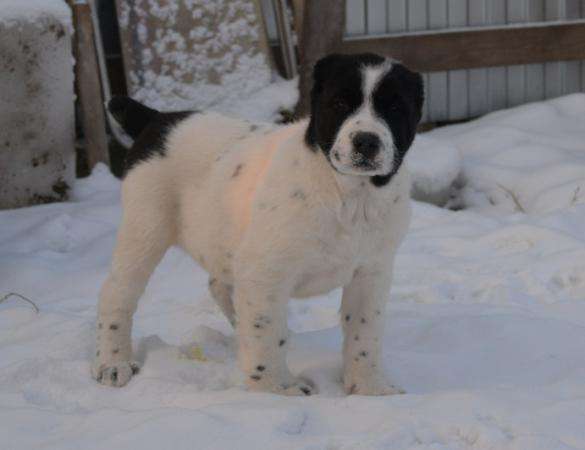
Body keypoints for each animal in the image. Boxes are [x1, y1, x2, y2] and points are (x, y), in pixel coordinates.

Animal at [93, 52, 424, 396]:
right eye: (340, 103)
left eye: (396, 109)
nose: (366, 142)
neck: (350, 195)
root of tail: (156, 120)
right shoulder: (266, 272)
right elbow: (265, 333)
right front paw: (275, 389)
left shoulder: (371, 272)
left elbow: (364, 333)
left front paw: (370, 388)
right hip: (145, 228)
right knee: (116, 293)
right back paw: (113, 364)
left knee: (220, 286)